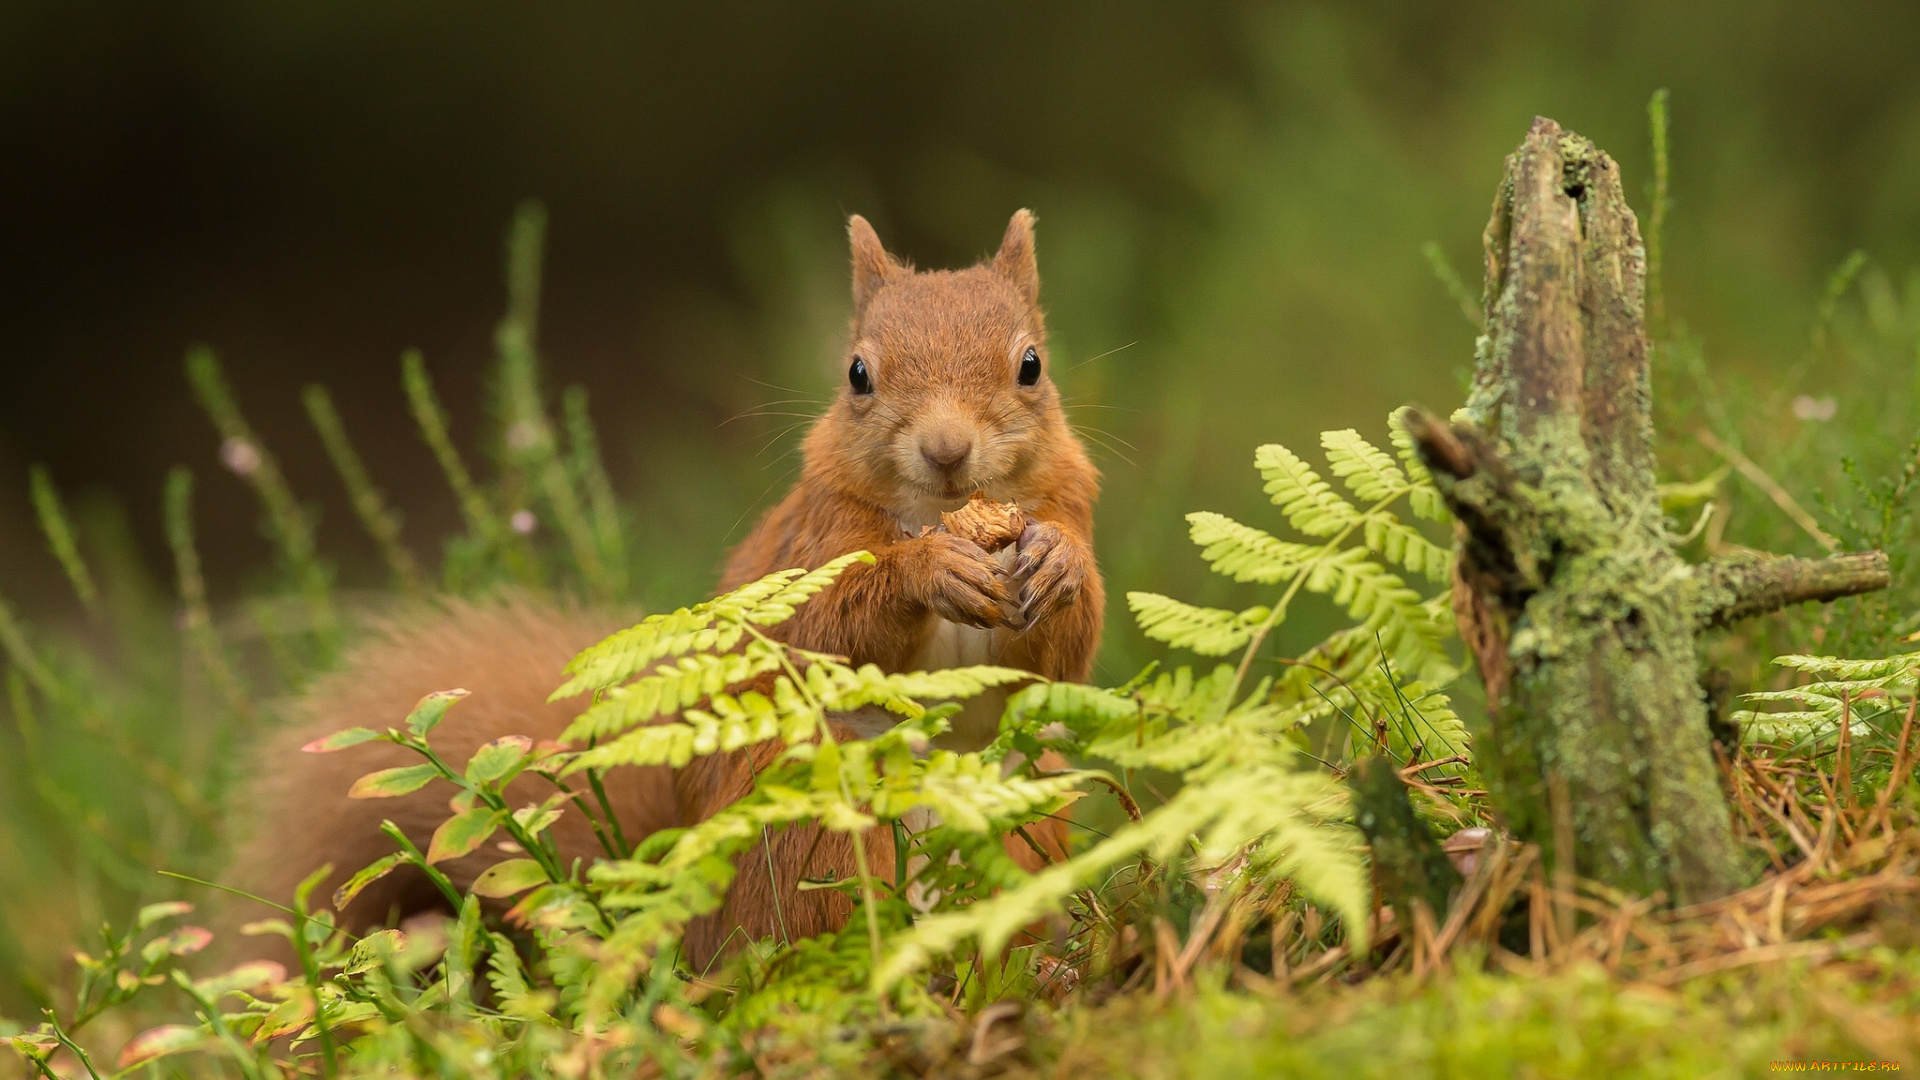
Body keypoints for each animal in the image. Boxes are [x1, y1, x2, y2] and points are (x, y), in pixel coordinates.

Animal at [226, 210, 1105, 968]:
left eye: (1032, 365)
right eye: (857, 373)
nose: (947, 450)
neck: (940, 514)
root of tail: (696, 940)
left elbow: (1055, 657)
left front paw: (1058, 564)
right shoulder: (813, 547)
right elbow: (832, 629)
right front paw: (927, 572)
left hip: (1022, 805)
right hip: (813, 827)